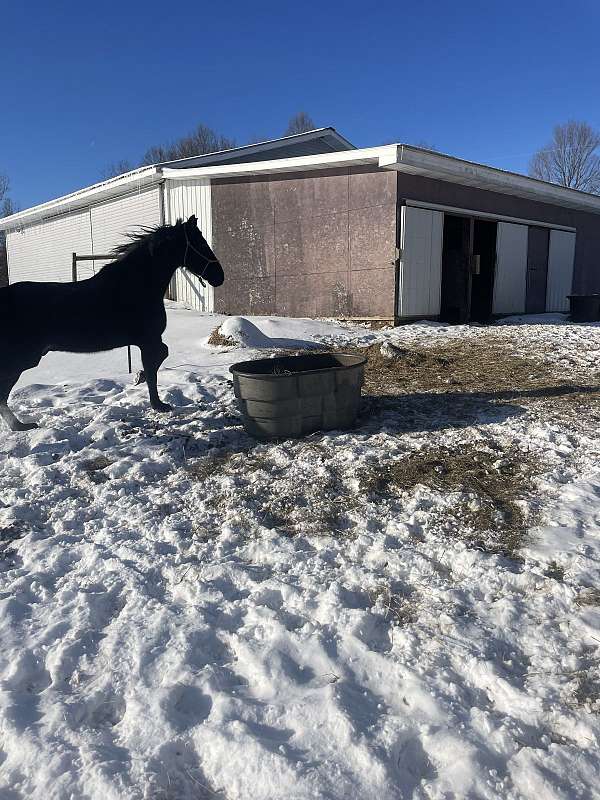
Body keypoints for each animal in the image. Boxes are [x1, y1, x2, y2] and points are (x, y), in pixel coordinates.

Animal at [0, 214, 225, 432]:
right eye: (201, 243)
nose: (219, 276)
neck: (136, 285)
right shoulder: (148, 340)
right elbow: (155, 365)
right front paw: (156, 401)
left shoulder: (148, 341)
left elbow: (160, 358)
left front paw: (143, 382)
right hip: (21, 359)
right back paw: (20, 426)